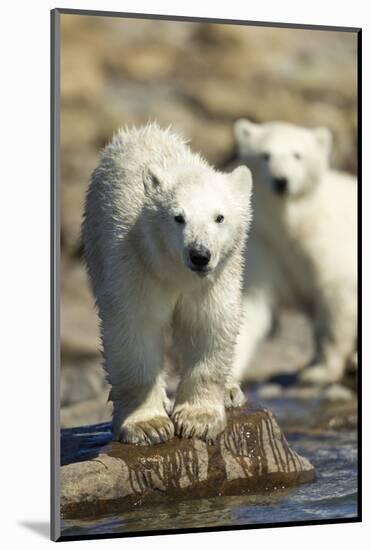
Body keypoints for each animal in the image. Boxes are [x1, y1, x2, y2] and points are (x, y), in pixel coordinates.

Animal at [83, 123, 254, 446]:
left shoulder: (215, 281)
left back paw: (230, 391)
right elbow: (134, 330)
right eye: (178, 217)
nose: (200, 254)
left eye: (219, 217)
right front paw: (147, 425)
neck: (176, 272)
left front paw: (198, 420)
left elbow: (209, 324)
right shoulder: (135, 264)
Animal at [228, 117, 358, 402]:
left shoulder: (330, 244)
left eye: (298, 155)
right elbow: (250, 303)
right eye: (265, 155)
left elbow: (337, 298)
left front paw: (320, 371)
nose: (281, 181)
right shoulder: (266, 246)